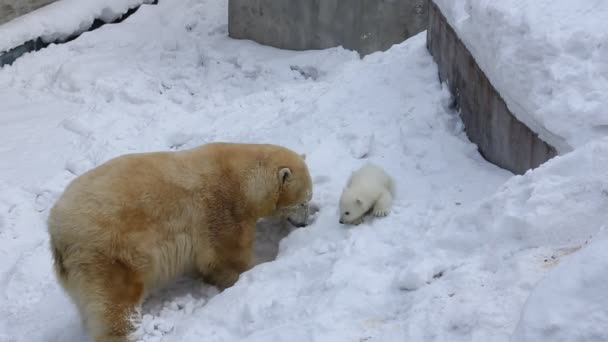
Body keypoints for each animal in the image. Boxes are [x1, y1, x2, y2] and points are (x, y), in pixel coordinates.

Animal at [47, 142, 314, 342]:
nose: (304, 223)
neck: (242, 177)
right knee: (115, 304)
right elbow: (228, 255)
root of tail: (56, 231)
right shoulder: (221, 208)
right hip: (107, 252)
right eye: (303, 201)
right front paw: (254, 270)